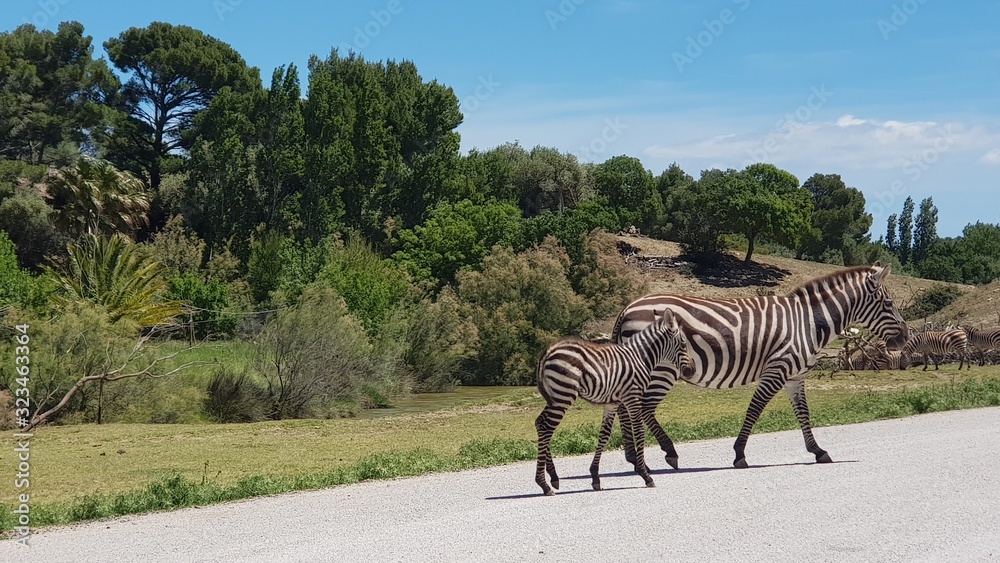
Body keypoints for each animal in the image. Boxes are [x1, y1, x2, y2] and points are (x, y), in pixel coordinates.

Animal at [534, 310, 693, 496]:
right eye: (683, 344)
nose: (691, 371)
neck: (640, 357)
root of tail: (548, 351)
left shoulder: (613, 403)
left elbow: (604, 435)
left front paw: (595, 477)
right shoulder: (632, 397)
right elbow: (639, 432)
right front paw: (645, 475)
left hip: (556, 396)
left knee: (540, 423)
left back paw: (553, 477)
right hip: (563, 395)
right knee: (546, 428)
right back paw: (544, 484)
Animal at [609, 262, 908, 470]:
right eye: (889, 303)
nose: (905, 338)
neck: (809, 321)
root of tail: (628, 307)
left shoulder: (795, 376)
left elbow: (804, 413)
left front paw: (818, 451)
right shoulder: (777, 368)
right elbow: (755, 409)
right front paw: (739, 454)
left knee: (625, 407)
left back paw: (633, 456)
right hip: (663, 369)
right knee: (643, 408)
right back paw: (668, 452)